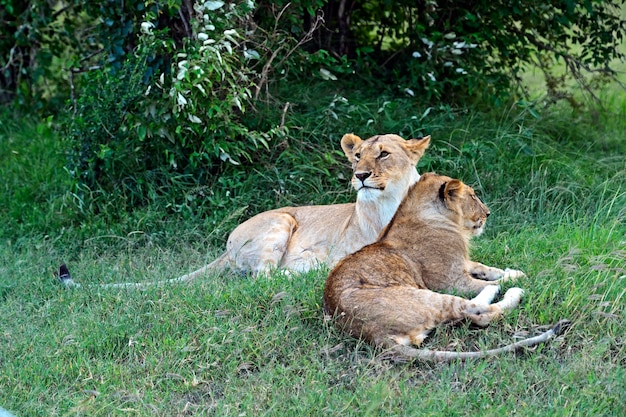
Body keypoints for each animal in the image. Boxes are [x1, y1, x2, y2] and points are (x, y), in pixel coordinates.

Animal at [324, 173, 568, 360]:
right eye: (473, 196)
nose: (488, 213)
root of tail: (369, 331)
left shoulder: (463, 263)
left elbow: (484, 266)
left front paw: (508, 270)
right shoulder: (453, 281)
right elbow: (487, 281)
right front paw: (514, 277)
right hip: (426, 296)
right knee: (479, 312)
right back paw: (507, 291)